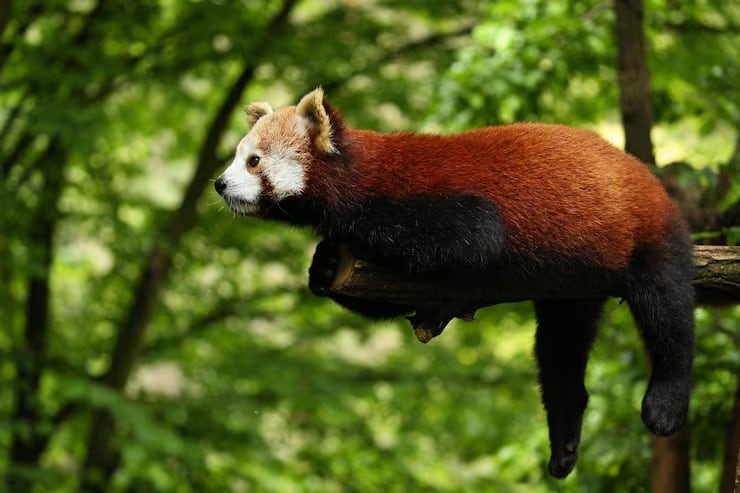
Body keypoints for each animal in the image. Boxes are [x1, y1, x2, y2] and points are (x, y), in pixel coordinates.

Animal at [214, 88, 695, 478]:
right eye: (238, 157)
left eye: (253, 161)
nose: (218, 183)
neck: (357, 174)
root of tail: (644, 173)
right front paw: (325, 263)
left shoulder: (432, 206)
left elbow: (470, 238)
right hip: (574, 282)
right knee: (559, 348)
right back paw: (564, 440)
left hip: (644, 234)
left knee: (667, 312)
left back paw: (665, 404)